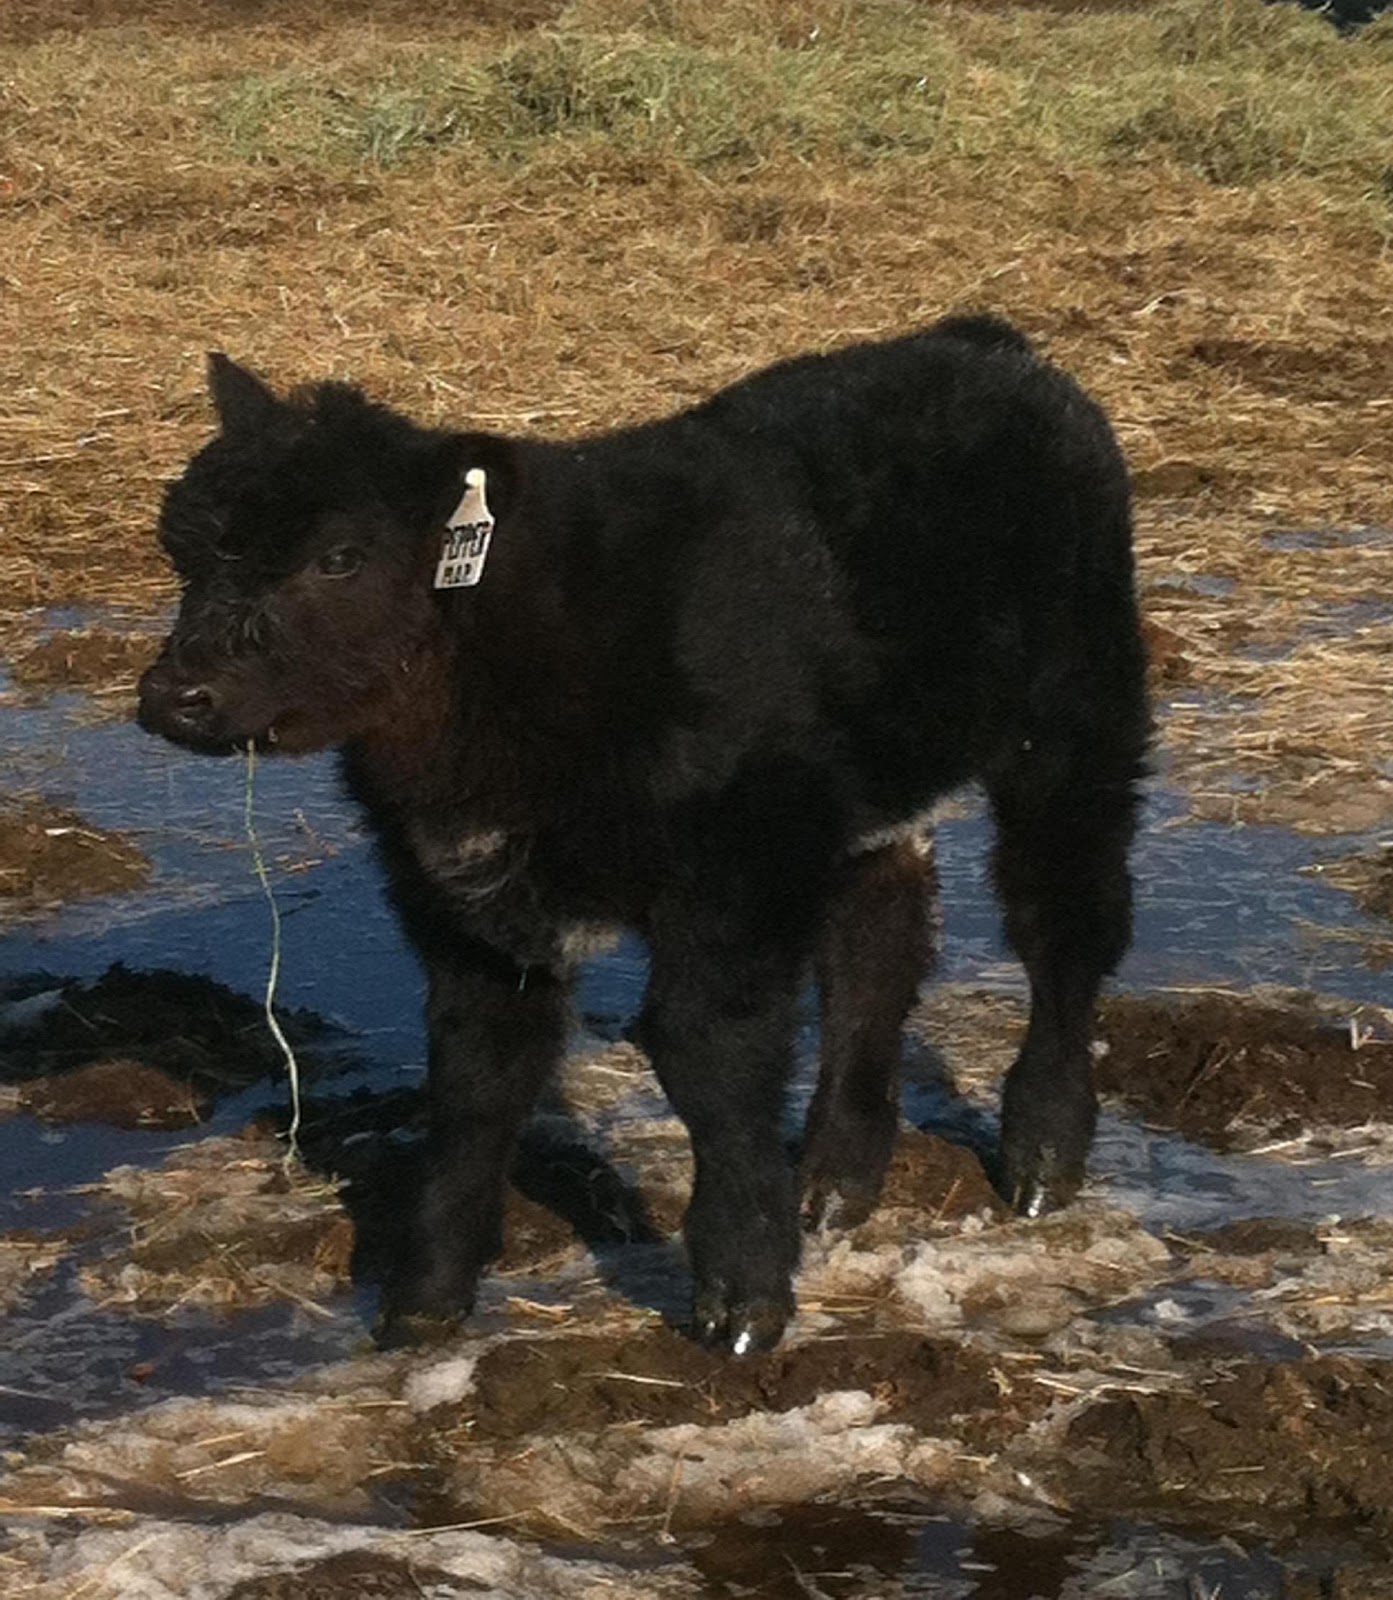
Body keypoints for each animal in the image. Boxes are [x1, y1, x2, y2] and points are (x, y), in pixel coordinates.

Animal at [137, 316, 1149, 1355]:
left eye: (337, 557)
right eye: (182, 549)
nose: (176, 696)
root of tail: (979, 342)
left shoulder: (733, 878)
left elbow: (708, 1058)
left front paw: (742, 1296)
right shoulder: (462, 907)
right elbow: (476, 1084)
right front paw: (424, 1303)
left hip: (1075, 719)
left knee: (1062, 917)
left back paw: (1040, 1158)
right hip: (872, 791)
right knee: (877, 949)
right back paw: (836, 1180)